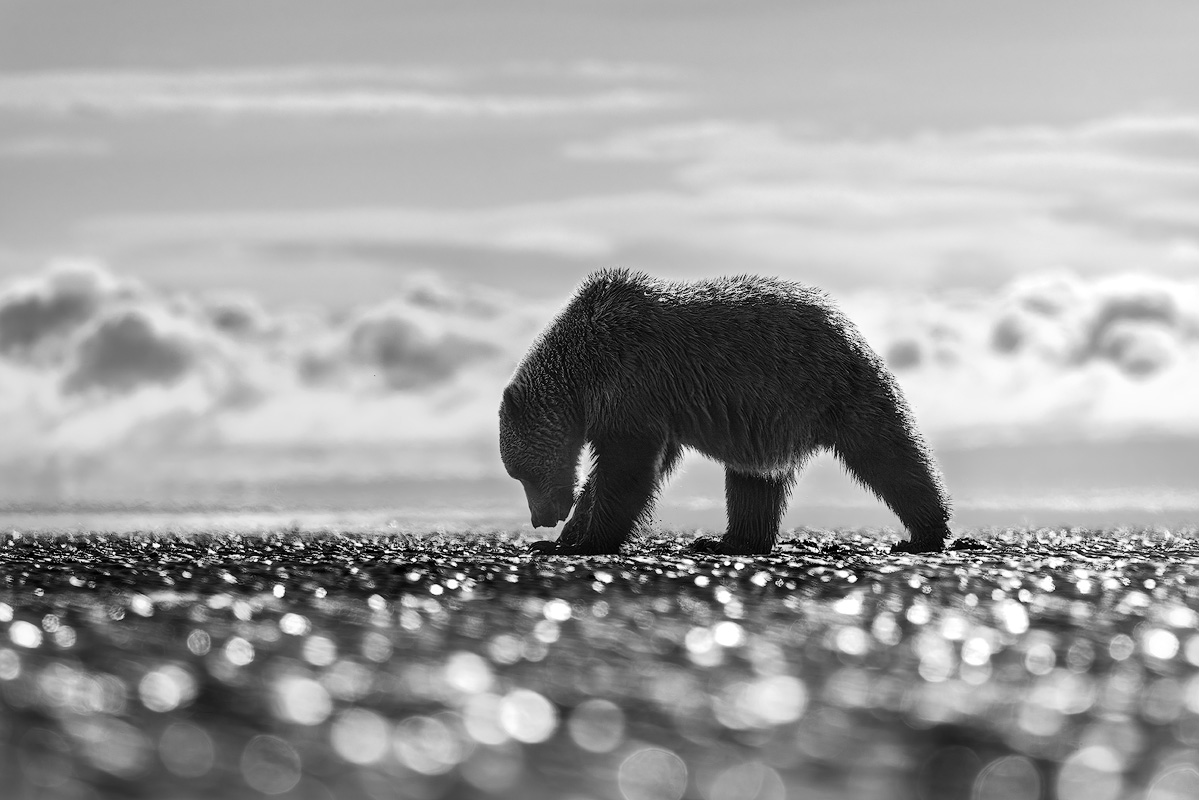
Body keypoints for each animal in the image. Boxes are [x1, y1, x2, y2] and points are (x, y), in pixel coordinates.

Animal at [498, 268, 952, 556]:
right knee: (755, 481)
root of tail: (845, 321)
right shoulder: (651, 405)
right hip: (767, 421)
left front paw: (584, 542)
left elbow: (626, 467)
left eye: (521, 473)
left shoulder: (634, 385)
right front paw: (563, 539)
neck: (583, 370)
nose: (540, 519)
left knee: (889, 454)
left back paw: (925, 533)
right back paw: (728, 541)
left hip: (831, 387)